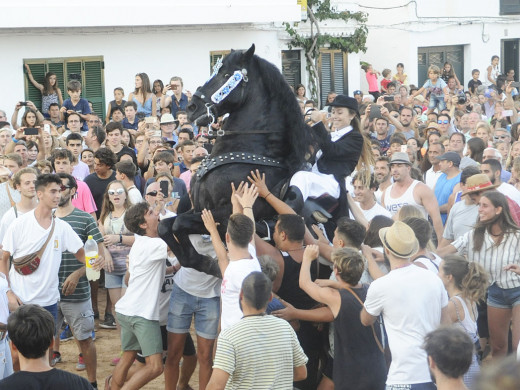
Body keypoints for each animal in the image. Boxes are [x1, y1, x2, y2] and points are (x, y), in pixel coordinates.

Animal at [158, 44, 312, 278]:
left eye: (226, 75)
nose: (192, 107)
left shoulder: (225, 215)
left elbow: (178, 224)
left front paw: (207, 263)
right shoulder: (198, 208)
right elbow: (165, 226)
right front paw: (203, 262)